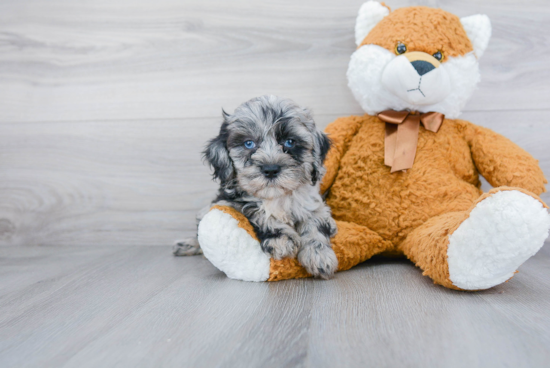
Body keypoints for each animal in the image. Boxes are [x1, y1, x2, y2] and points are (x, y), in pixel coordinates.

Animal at [177, 95, 338, 278]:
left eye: (290, 142)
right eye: (248, 143)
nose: (271, 169)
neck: (276, 197)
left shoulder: (313, 205)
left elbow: (315, 224)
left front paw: (319, 255)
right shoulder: (232, 202)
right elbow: (261, 214)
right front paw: (282, 240)